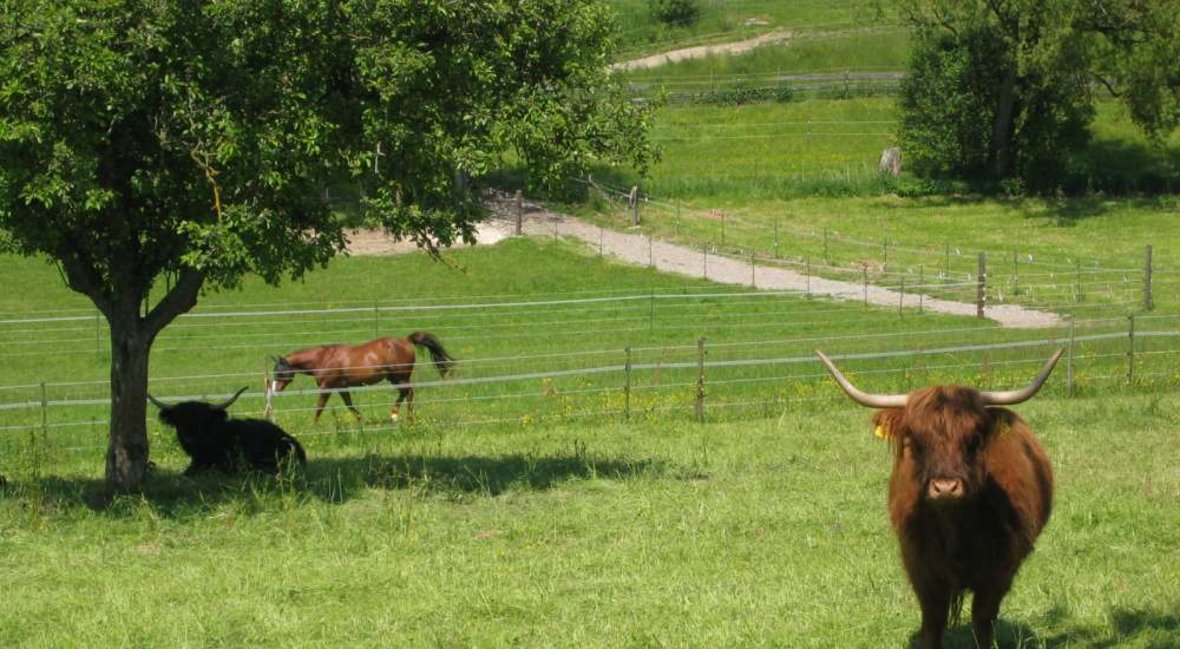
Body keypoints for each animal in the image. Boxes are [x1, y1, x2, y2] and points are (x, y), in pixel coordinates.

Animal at [268, 331, 455, 422]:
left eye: (279, 372)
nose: (274, 390)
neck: (323, 359)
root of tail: (406, 340)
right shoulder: (341, 387)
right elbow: (349, 405)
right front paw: (361, 420)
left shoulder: (327, 386)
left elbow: (320, 406)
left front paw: (314, 425)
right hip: (394, 378)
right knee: (405, 393)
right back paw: (395, 415)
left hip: (400, 377)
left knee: (409, 393)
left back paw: (405, 418)